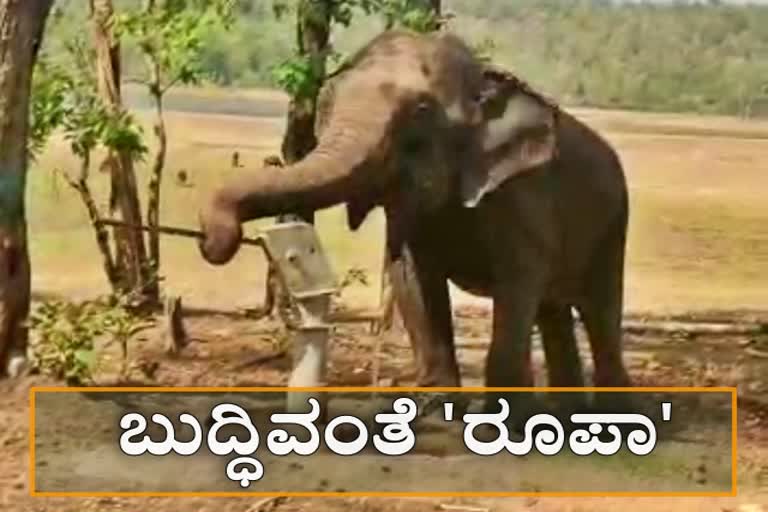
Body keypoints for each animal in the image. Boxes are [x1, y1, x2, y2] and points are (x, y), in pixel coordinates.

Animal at [198, 29, 632, 412]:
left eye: (420, 112)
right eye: (328, 102)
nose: (215, 238)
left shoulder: (522, 196)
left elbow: (517, 283)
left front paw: (504, 424)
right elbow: (413, 278)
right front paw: (434, 408)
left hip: (614, 224)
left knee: (599, 312)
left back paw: (613, 416)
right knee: (554, 311)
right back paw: (569, 413)